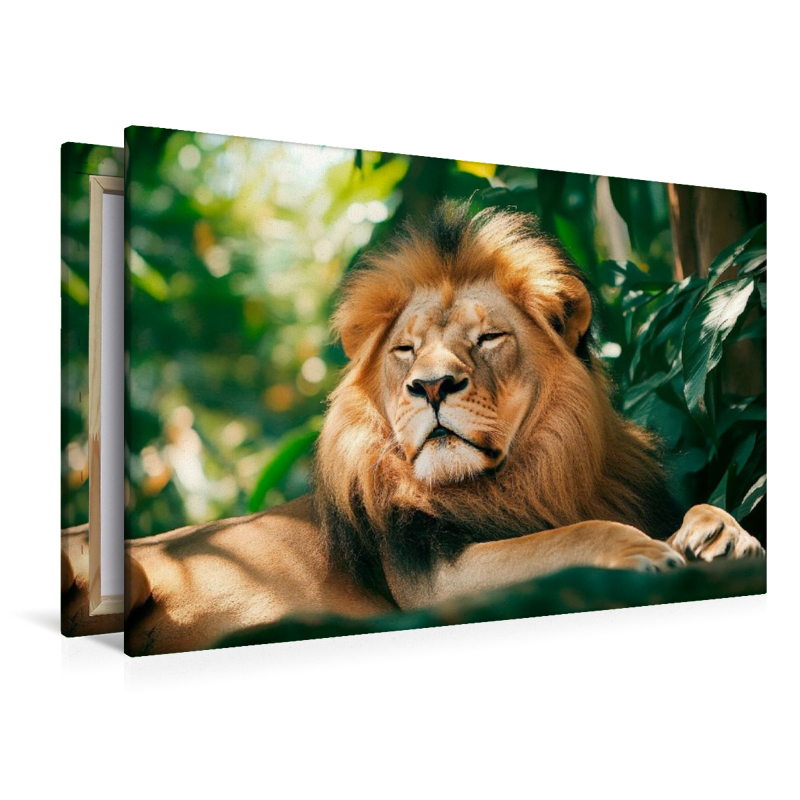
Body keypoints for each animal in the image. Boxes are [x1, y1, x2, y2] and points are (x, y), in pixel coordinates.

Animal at [121, 203, 763, 655]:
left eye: (489, 338)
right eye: (406, 350)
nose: (431, 386)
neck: (536, 475)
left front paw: (720, 533)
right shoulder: (434, 582)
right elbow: (567, 536)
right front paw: (640, 548)